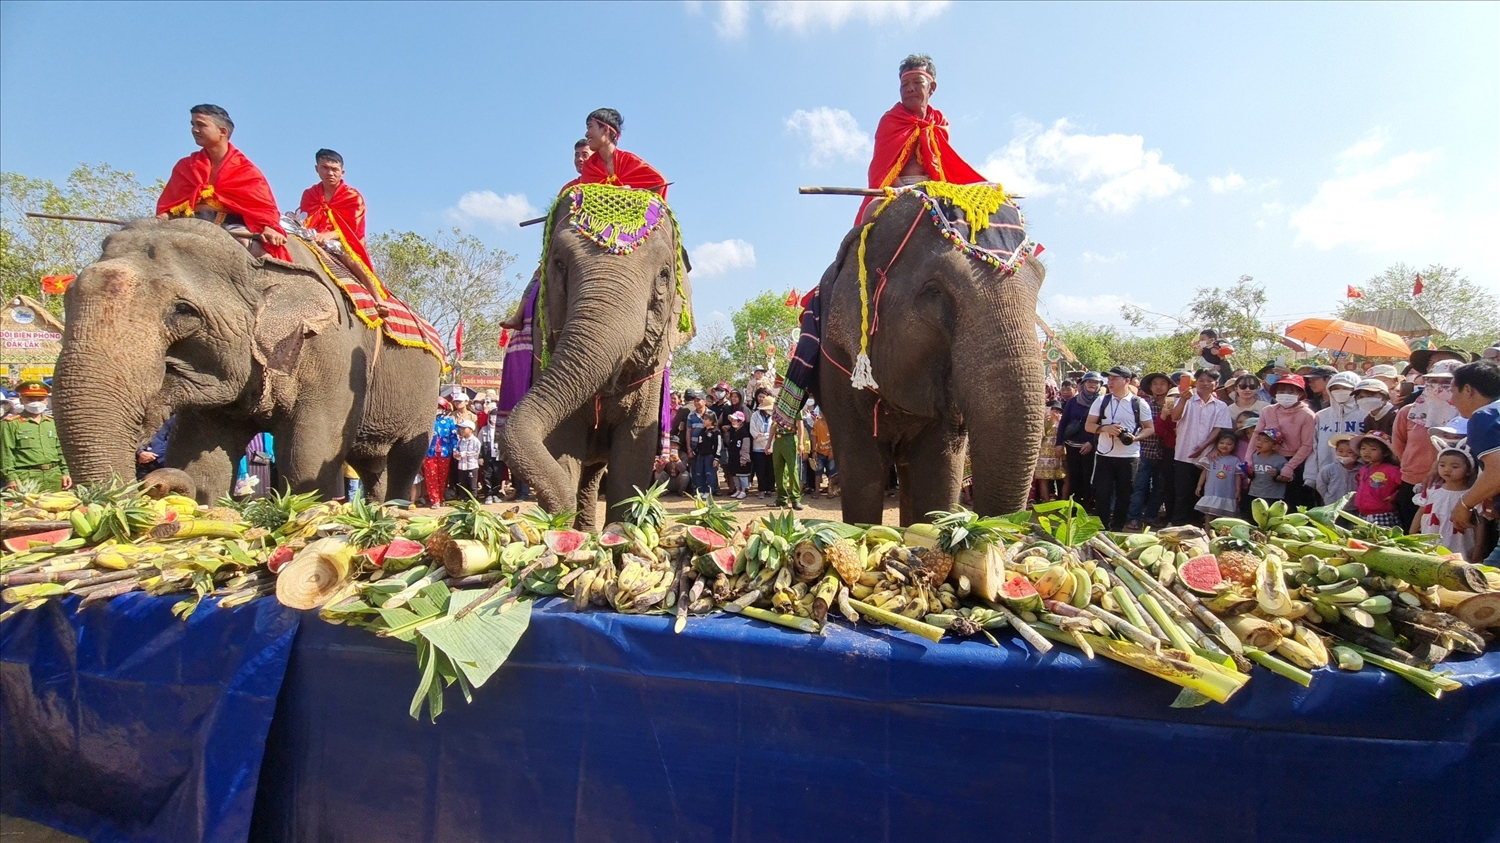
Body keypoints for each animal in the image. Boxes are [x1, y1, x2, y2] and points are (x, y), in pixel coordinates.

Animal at [52, 216, 438, 501]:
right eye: (67, 297)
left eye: (183, 311)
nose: (153, 481)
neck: (254, 256)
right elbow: (201, 461)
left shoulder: (332, 353)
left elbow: (307, 457)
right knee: (371, 462)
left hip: (424, 394)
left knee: (404, 459)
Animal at [504, 189, 690, 525]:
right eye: (559, 264)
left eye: (664, 275)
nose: (551, 516)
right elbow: (562, 446)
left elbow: (633, 453)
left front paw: (621, 532)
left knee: (593, 473)